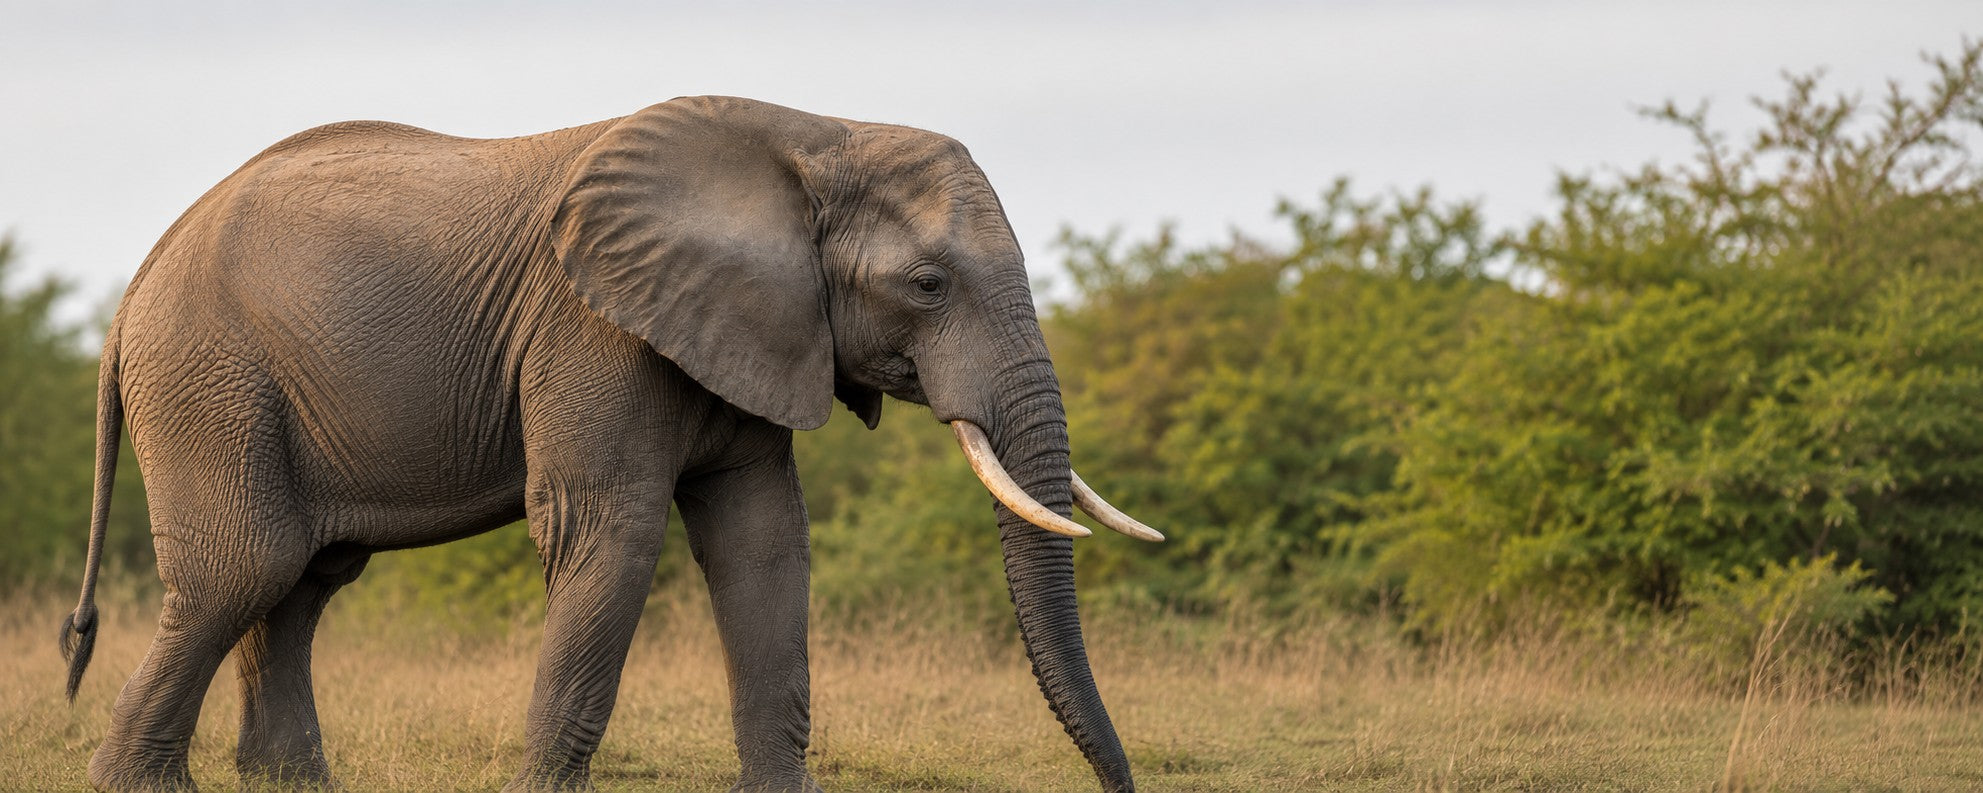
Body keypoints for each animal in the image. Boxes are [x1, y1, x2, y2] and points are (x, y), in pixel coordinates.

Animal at [55, 95, 1163, 792]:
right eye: (929, 284)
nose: (1119, 785)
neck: (816, 135)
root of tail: (134, 288)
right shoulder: (591, 325)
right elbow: (610, 532)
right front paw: (538, 787)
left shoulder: (753, 325)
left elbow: (764, 543)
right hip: (208, 376)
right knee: (248, 566)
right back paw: (135, 782)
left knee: (305, 578)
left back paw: (289, 782)